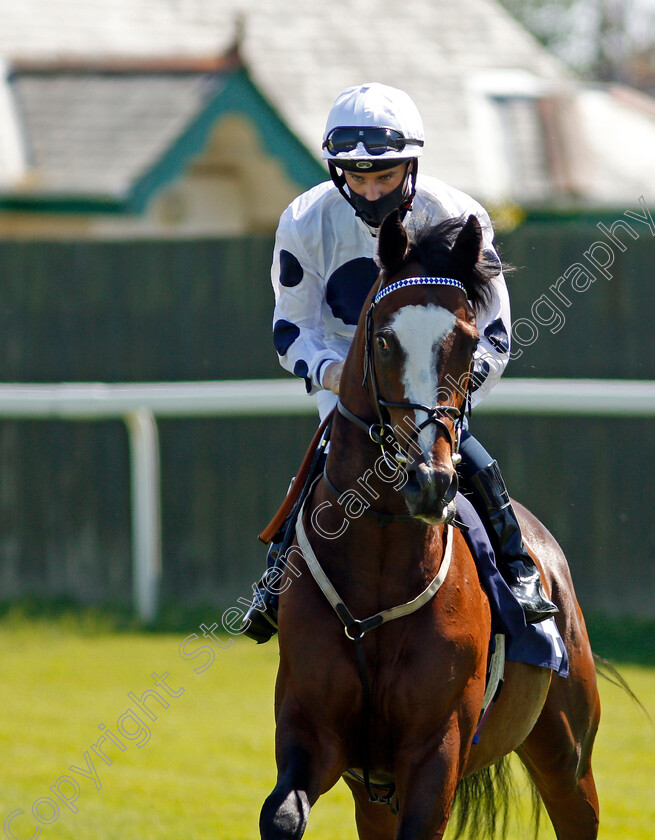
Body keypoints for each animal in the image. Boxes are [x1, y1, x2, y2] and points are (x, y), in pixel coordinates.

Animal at [258, 210, 604, 840]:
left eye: (466, 341)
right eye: (384, 339)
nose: (429, 480)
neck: (377, 569)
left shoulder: (434, 752)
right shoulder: (314, 734)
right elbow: (283, 815)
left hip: (568, 758)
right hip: (373, 797)